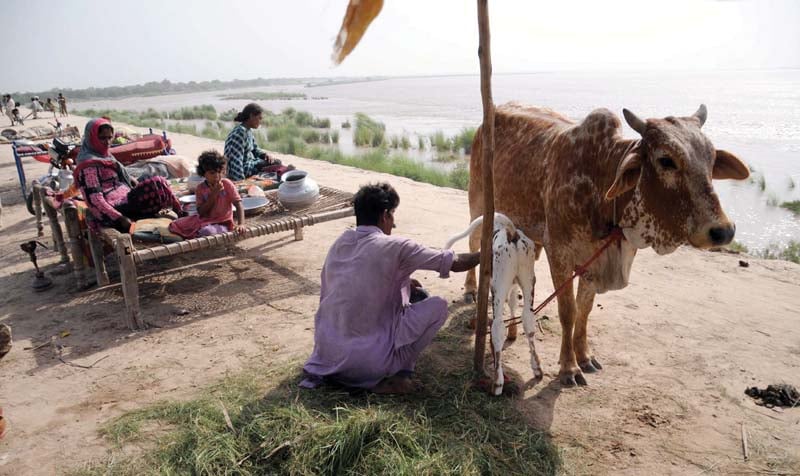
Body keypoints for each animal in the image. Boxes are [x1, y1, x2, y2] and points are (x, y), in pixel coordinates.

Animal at [446, 212, 540, 394]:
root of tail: (512, 233)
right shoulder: (514, 285)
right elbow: (513, 303)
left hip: (499, 284)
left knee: (497, 327)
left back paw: (498, 382)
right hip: (528, 279)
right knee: (528, 319)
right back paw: (537, 369)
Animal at [466, 103, 752, 386]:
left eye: (711, 160)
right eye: (666, 160)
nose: (723, 231)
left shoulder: (592, 261)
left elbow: (585, 309)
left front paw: (584, 356)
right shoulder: (558, 251)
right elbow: (568, 311)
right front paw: (569, 367)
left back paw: (513, 330)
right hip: (479, 206)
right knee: (472, 247)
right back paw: (471, 293)